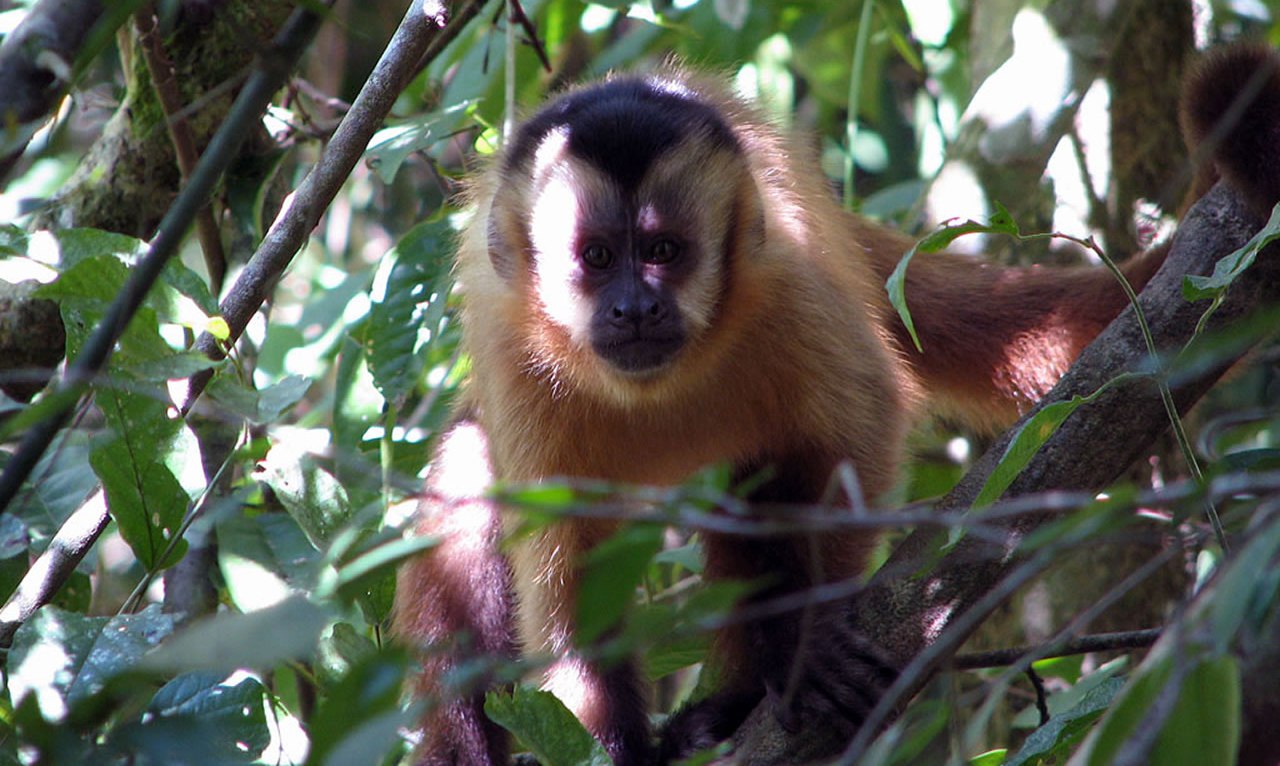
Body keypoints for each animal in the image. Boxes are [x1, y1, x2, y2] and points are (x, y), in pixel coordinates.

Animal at [393, 44, 1280, 765]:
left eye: (665, 252)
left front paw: (806, 651)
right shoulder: (513, 351)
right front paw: (615, 747)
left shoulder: (787, 276)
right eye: (599, 257)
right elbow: (569, 566)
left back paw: (737, 702)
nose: (635, 308)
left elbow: (858, 430)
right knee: (468, 477)